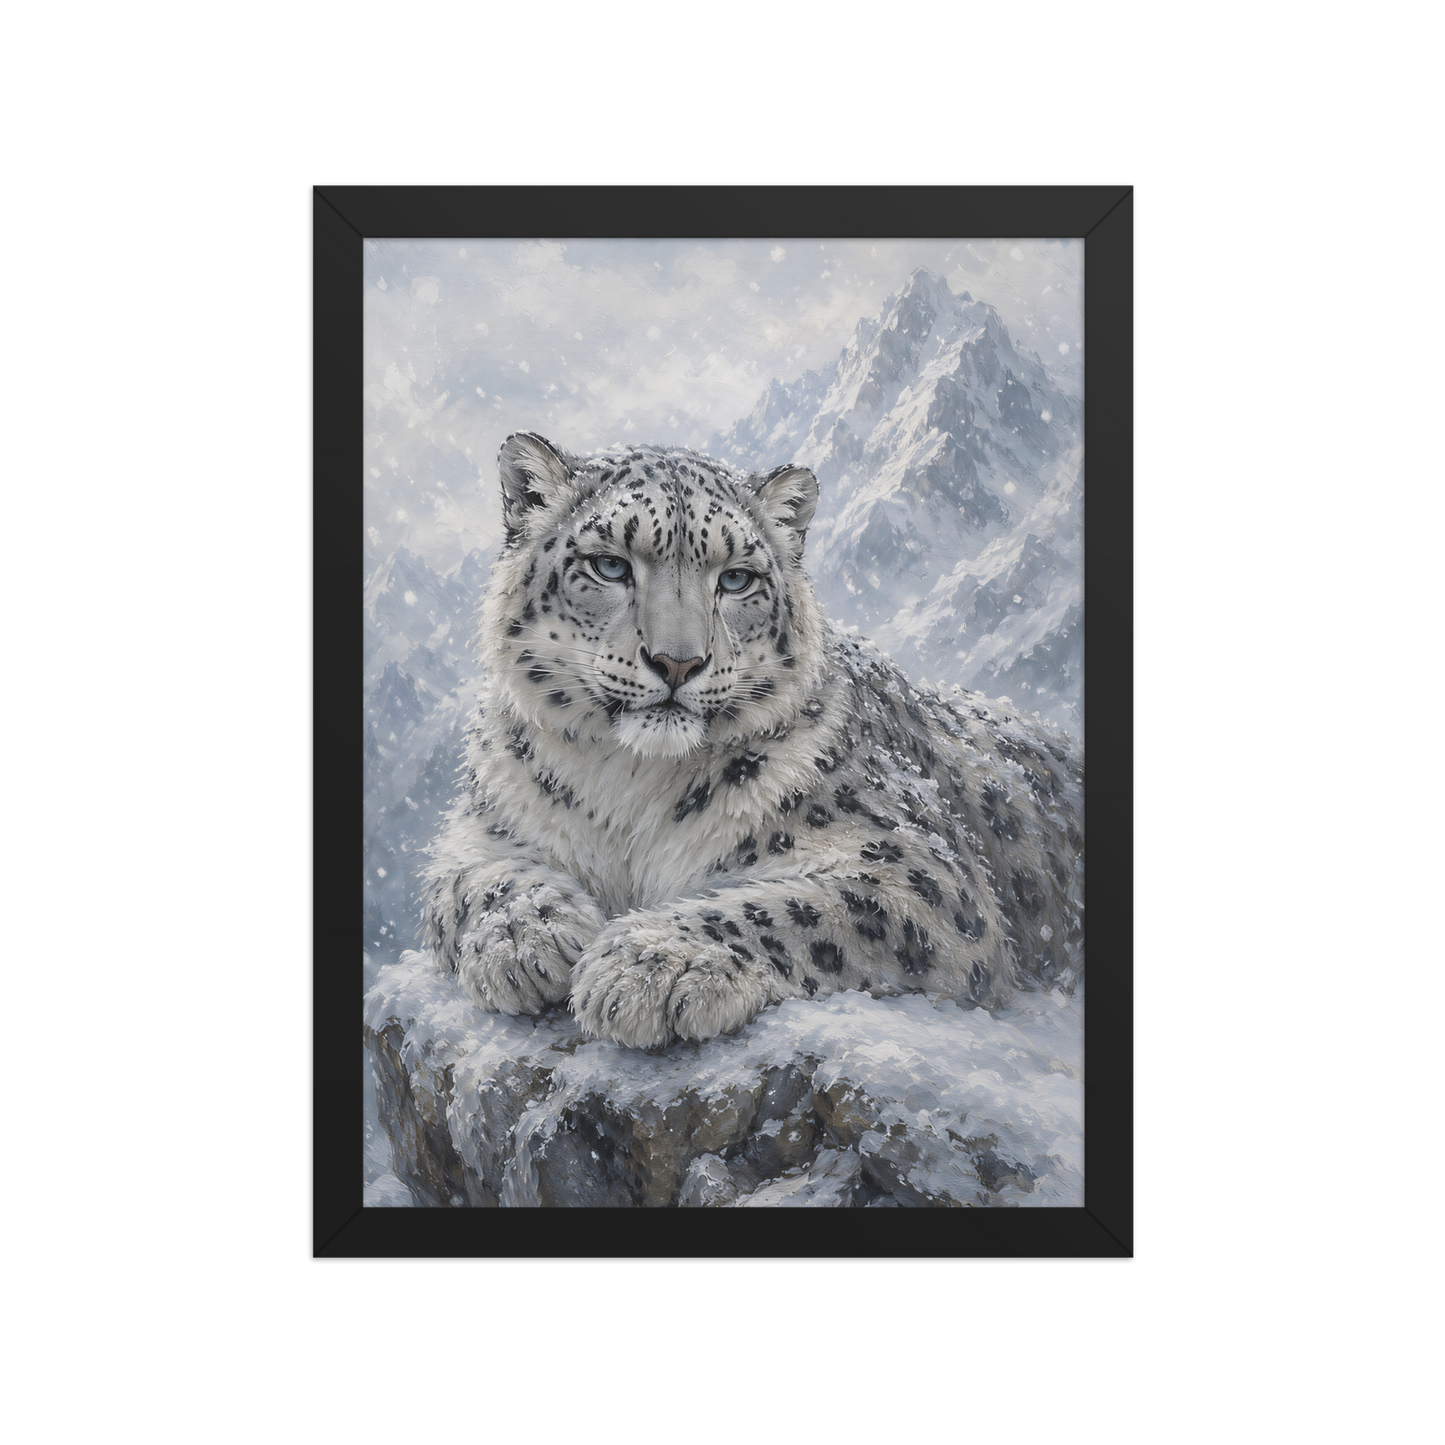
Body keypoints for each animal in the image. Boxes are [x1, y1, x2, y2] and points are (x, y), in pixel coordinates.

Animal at [420, 431, 1083, 1049]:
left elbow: (794, 907)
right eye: (609, 565)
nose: (678, 662)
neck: (627, 786)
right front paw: (526, 938)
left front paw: (649, 964)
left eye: (736, 579)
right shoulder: (483, 829)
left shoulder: (918, 871)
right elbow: (471, 881)